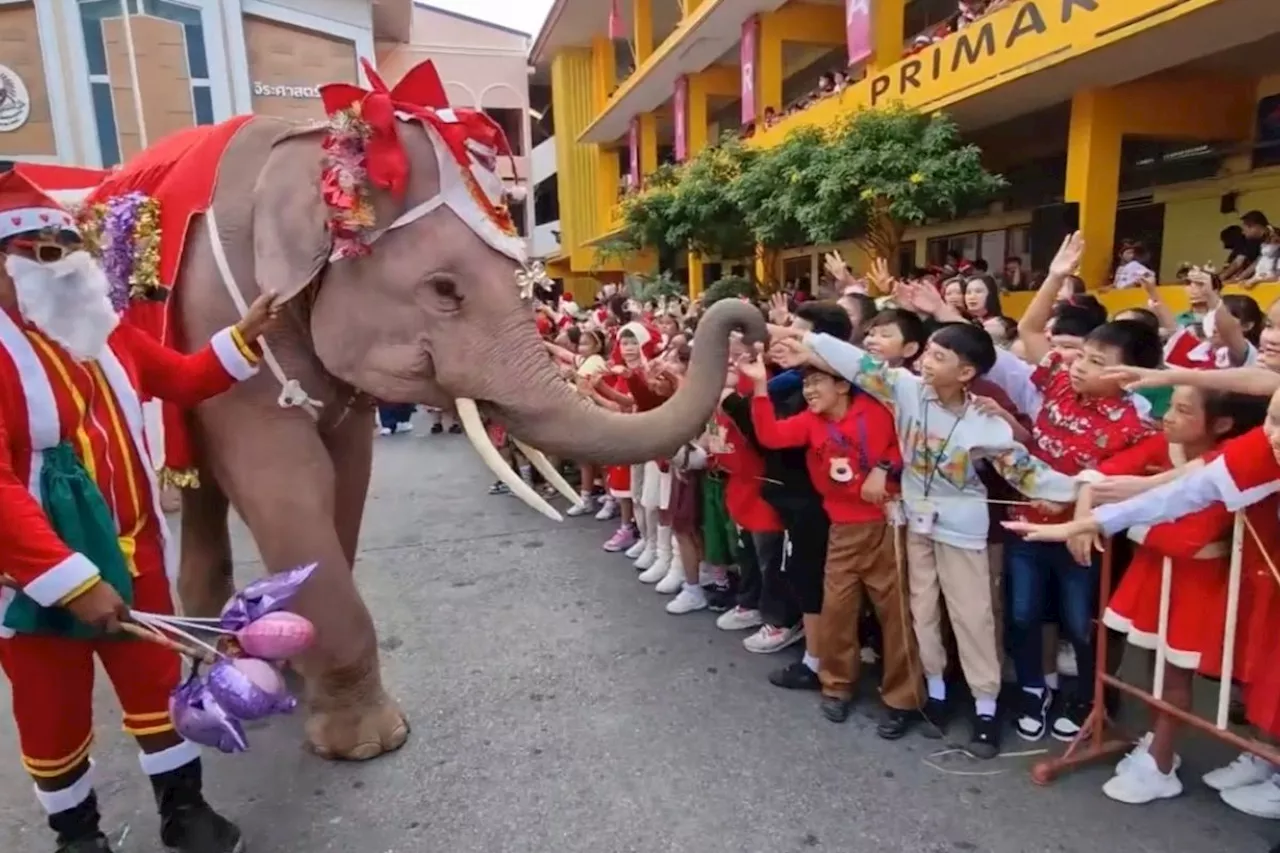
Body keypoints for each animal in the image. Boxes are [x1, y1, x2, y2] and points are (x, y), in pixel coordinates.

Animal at [129, 71, 768, 758]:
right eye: (443, 290)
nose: (747, 320)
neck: (302, 148)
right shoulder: (213, 313)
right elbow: (287, 480)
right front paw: (366, 742)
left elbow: (345, 478)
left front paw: (339, 713)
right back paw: (211, 653)